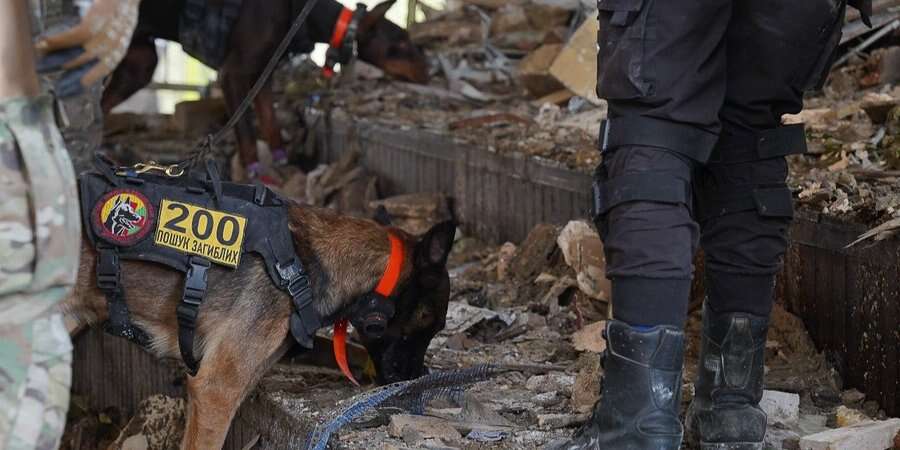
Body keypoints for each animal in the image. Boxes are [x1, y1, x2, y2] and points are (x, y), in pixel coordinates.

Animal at [100, 0, 430, 182]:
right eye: (401, 44)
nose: (427, 71)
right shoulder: (232, 74)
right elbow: (246, 134)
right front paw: (257, 173)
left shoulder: (263, 75)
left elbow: (270, 123)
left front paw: (283, 162)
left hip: (139, 61)